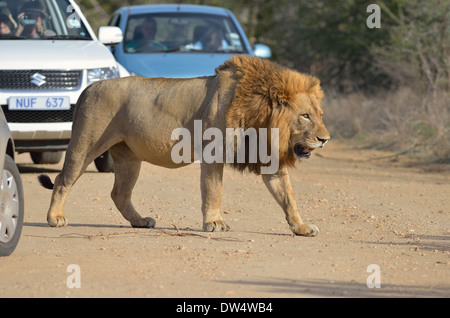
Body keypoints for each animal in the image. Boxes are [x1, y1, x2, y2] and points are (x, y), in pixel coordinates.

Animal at [38, 56, 330, 237]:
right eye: (305, 116)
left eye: (320, 115)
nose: (325, 139)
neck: (261, 116)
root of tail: (89, 88)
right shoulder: (213, 153)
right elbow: (214, 191)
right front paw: (214, 223)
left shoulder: (270, 159)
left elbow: (288, 198)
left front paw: (301, 227)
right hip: (86, 144)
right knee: (63, 179)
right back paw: (54, 219)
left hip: (129, 158)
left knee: (119, 194)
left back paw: (140, 222)